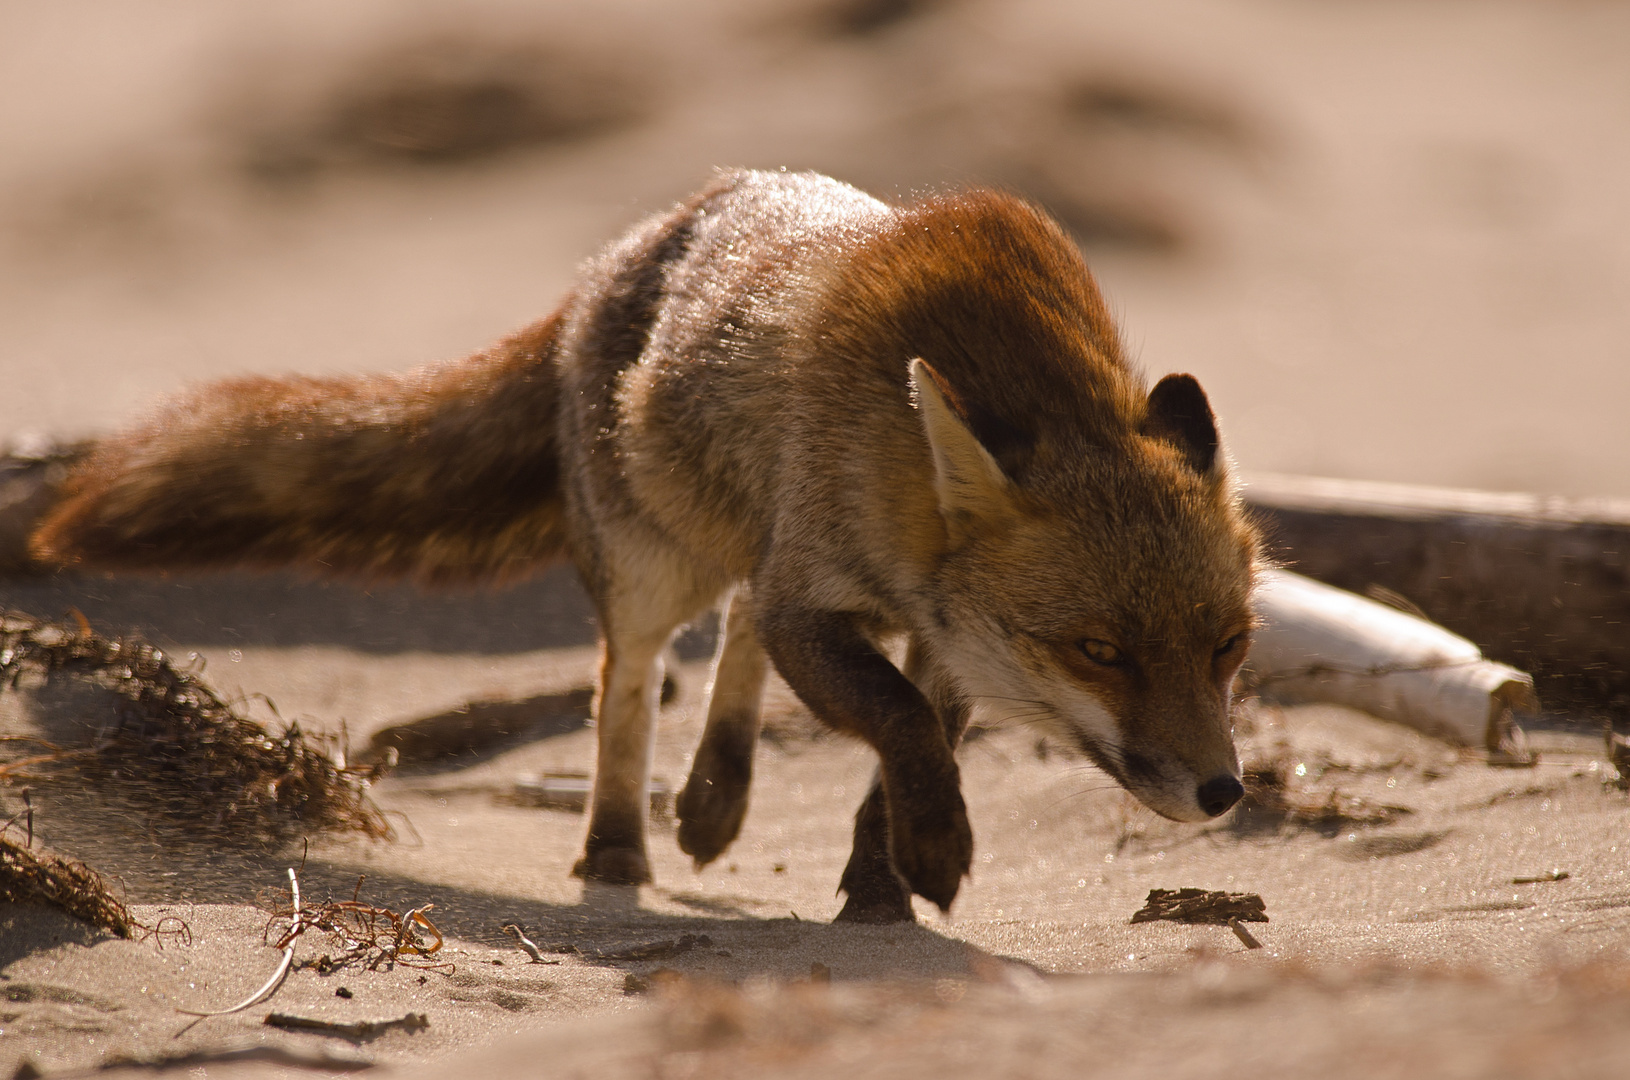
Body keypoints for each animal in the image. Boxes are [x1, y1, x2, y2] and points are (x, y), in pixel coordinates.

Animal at [31, 169, 1264, 918]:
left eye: (1228, 647)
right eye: (1099, 651)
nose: (1222, 793)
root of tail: (614, 253)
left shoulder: (940, 633)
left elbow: (906, 742)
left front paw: (880, 879)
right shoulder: (821, 594)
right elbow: (902, 728)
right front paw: (928, 856)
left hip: (743, 551)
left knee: (732, 635)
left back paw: (715, 797)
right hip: (650, 569)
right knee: (627, 685)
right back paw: (621, 843)